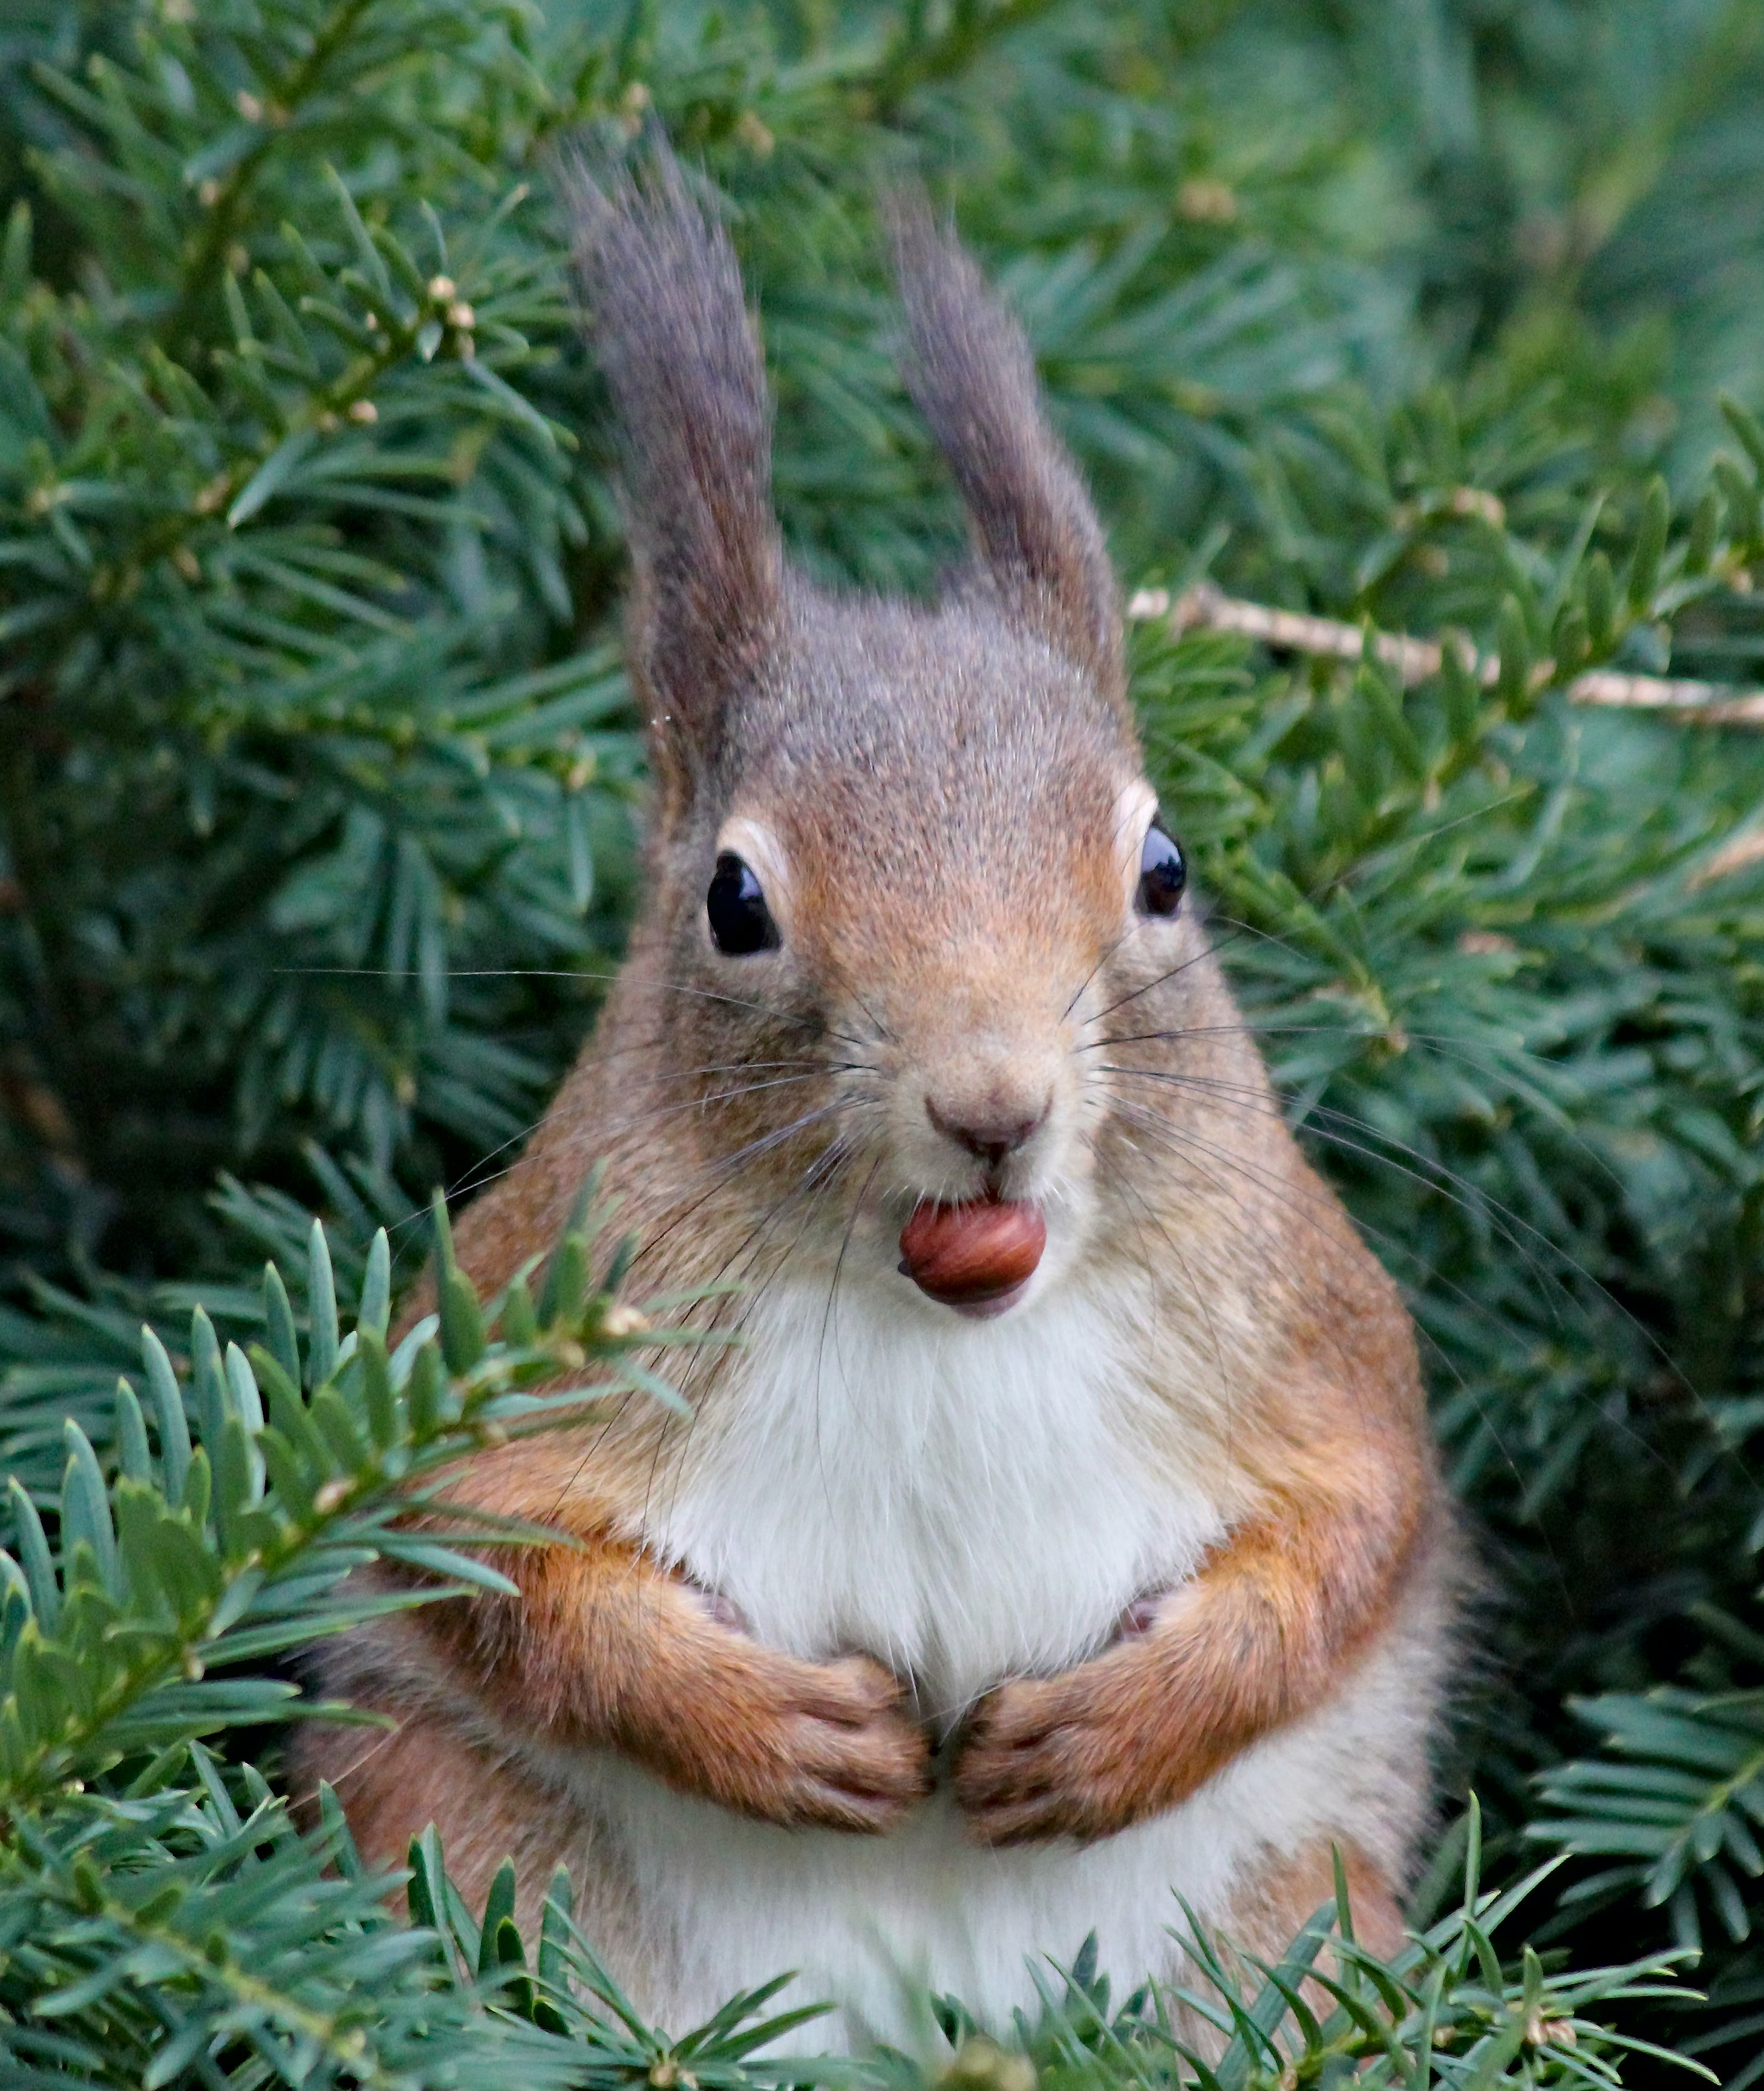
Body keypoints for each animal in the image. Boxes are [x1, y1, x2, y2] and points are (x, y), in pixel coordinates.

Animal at [294, 144, 1456, 2045]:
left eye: (1163, 869)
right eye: (734, 901)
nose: (991, 1108)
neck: (941, 1319)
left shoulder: (1305, 1329)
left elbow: (1351, 1529)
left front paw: (1114, 1735)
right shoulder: (518, 1324)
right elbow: (485, 1557)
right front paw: (773, 1728)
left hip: (1295, 1918)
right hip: (455, 1831)